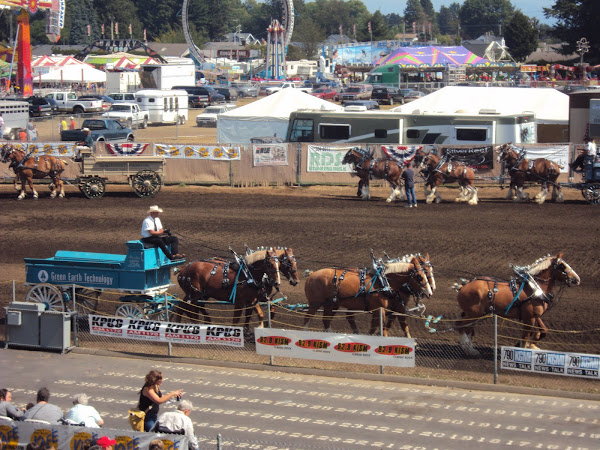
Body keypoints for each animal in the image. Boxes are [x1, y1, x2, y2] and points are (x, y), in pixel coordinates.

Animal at [302, 255, 432, 337]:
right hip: (315, 303)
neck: (383, 282)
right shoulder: (380, 309)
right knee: (307, 319)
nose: (429, 292)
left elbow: (397, 326)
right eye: (420, 276)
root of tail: (312, 274)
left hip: (332, 304)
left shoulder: (390, 308)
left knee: (327, 320)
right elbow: (383, 329)